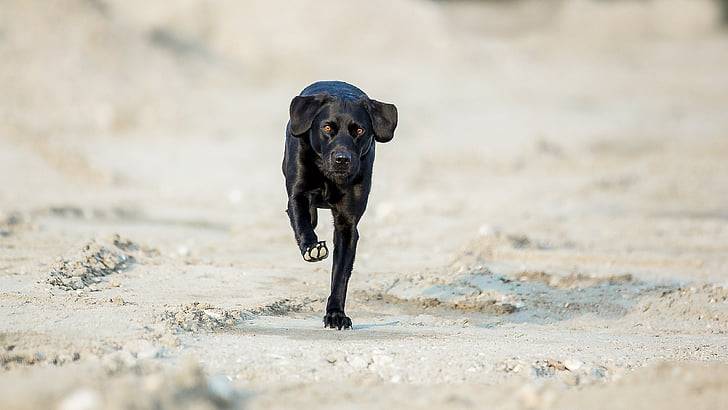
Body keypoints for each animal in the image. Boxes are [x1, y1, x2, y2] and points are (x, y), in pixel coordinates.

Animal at [282, 81, 398, 330]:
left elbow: (340, 274)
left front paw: (336, 314)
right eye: (327, 128)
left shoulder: (347, 224)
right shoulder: (297, 194)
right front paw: (312, 247)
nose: (342, 159)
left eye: (359, 131)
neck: (329, 177)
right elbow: (301, 220)